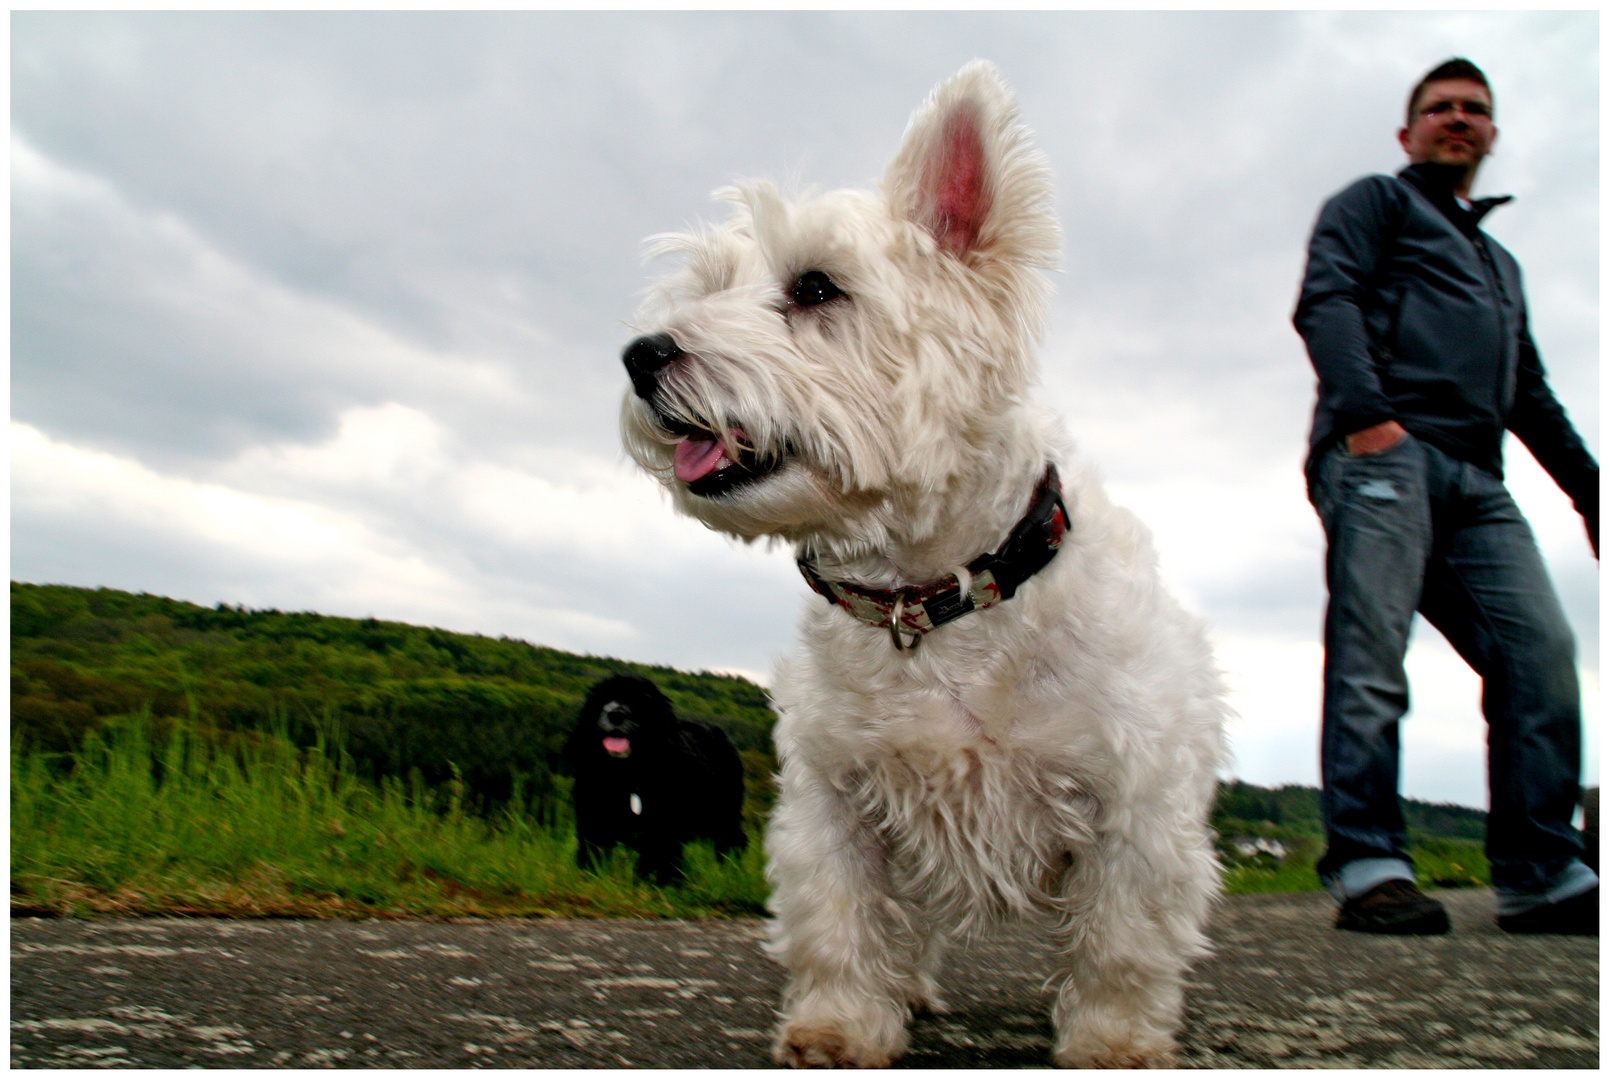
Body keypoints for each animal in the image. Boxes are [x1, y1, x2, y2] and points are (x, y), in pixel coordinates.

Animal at [563, 676, 743, 888]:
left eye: (639, 701)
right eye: (603, 699)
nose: (616, 714)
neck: (626, 774)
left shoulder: (662, 830)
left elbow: (658, 862)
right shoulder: (594, 821)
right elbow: (593, 855)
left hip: (724, 814)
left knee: (733, 842)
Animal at [621, 61, 1223, 1075]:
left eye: (818, 287)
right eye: (709, 287)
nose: (640, 355)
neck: (928, 600)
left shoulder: (1134, 807)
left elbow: (1120, 940)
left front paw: (1113, 1041)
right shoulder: (837, 798)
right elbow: (839, 918)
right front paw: (839, 1026)